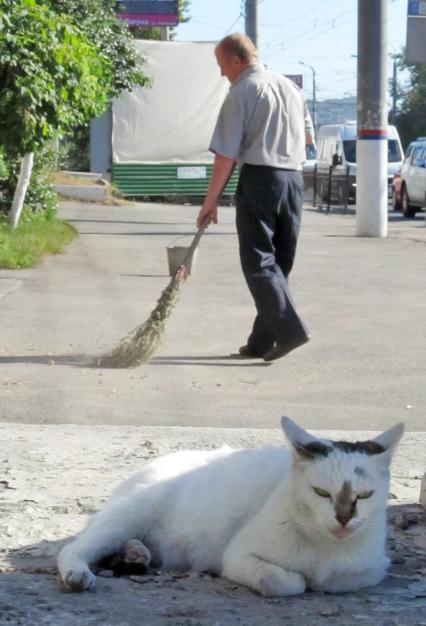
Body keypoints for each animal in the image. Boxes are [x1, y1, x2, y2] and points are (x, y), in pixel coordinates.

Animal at [58, 414, 404, 596]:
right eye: (321, 492)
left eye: (364, 495)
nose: (344, 519)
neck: (324, 546)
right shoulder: (237, 555)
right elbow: (283, 582)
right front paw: (299, 580)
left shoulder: (373, 567)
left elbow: (336, 579)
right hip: (131, 512)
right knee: (74, 547)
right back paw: (80, 572)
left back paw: (135, 553)